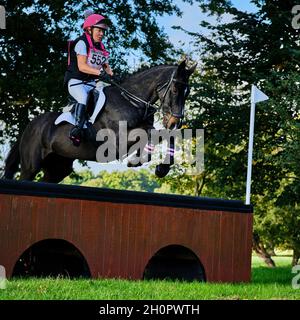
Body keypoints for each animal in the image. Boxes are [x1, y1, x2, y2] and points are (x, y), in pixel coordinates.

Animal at [3, 59, 198, 182]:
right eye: (174, 89)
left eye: (187, 92)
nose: (174, 122)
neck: (130, 100)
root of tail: (30, 125)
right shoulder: (118, 141)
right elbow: (151, 134)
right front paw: (139, 160)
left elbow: (165, 136)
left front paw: (161, 168)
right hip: (30, 166)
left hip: (58, 167)